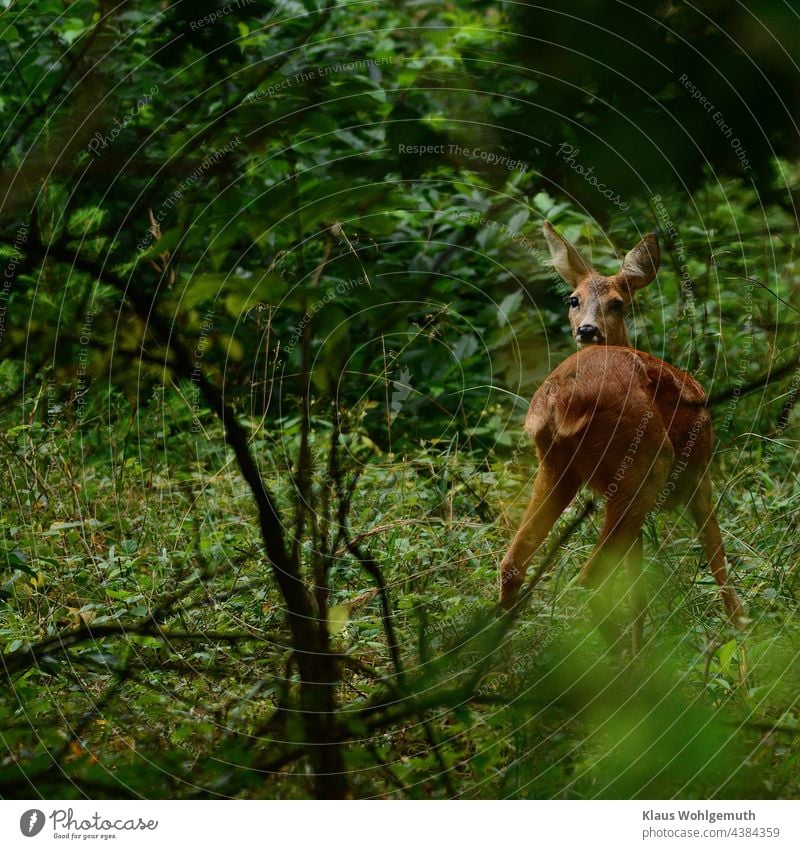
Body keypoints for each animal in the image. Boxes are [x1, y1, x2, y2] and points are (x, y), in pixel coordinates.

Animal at [500, 219, 744, 648]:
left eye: (617, 303)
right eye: (573, 299)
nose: (587, 330)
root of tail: (566, 396)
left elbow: (637, 590)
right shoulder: (699, 475)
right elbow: (719, 564)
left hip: (559, 466)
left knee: (514, 561)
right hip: (646, 464)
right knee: (586, 579)